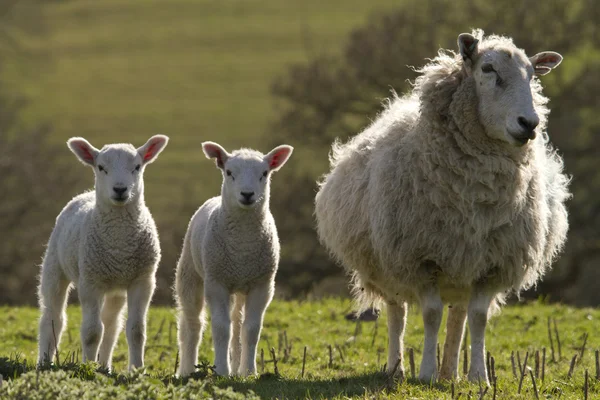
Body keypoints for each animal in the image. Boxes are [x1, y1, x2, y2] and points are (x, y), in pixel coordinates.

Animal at [37, 135, 169, 372]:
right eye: (101, 167)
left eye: (137, 167)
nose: (120, 189)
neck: (119, 244)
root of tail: (85, 194)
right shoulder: (91, 282)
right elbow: (91, 332)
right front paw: (87, 367)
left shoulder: (143, 280)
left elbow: (136, 330)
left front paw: (136, 369)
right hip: (54, 267)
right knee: (52, 317)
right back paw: (44, 362)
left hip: (116, 288)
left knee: (111, 324)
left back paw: (104, 365)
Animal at [173, 141, 292, 378]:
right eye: (229, 172)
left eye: (264, 173)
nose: (247, 194)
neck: (242, 247)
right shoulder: (216, 282)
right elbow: (220, 328)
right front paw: (221, 370)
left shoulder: (262, 284)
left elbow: (251, 329)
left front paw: (249, 371)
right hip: (190, 272)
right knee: (193, 324)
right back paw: (188, 369)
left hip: (239, 286)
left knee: (237, 324)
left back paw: (237, 366)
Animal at [316, 28, 568, 384]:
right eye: (488, 69)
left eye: (533, 75)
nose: (529, 124)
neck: (476, 192)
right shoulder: (421, 259)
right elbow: (431, 314)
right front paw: (425, 373)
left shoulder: (491, 263)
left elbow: (477, 318)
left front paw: (479, 377)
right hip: (388, 266)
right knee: (397, 313)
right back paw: (397, 368)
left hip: (462, 267)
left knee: (459, 314)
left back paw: (451, 373)